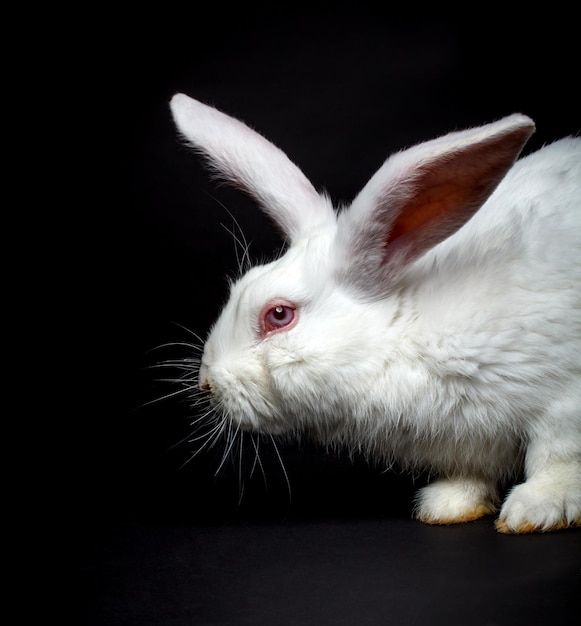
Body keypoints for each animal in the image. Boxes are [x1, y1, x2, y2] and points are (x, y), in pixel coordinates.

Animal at [170, 92, 576, 532]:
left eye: (278, 314)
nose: (206, 384)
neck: (404, 332)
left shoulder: (563, 404)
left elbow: (556, 458)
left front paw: (535, 510)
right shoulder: (469, 441)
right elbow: (472, 473)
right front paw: (447, 506)